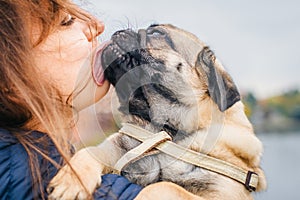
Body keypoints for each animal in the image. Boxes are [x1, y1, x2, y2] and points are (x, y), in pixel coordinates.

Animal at [48, 24, 266, 199]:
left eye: (156, 33)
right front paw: (72, 179)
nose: (119, 32)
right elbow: (89, 152)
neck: (164, 130)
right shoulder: (115, 150)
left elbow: (164, 187)